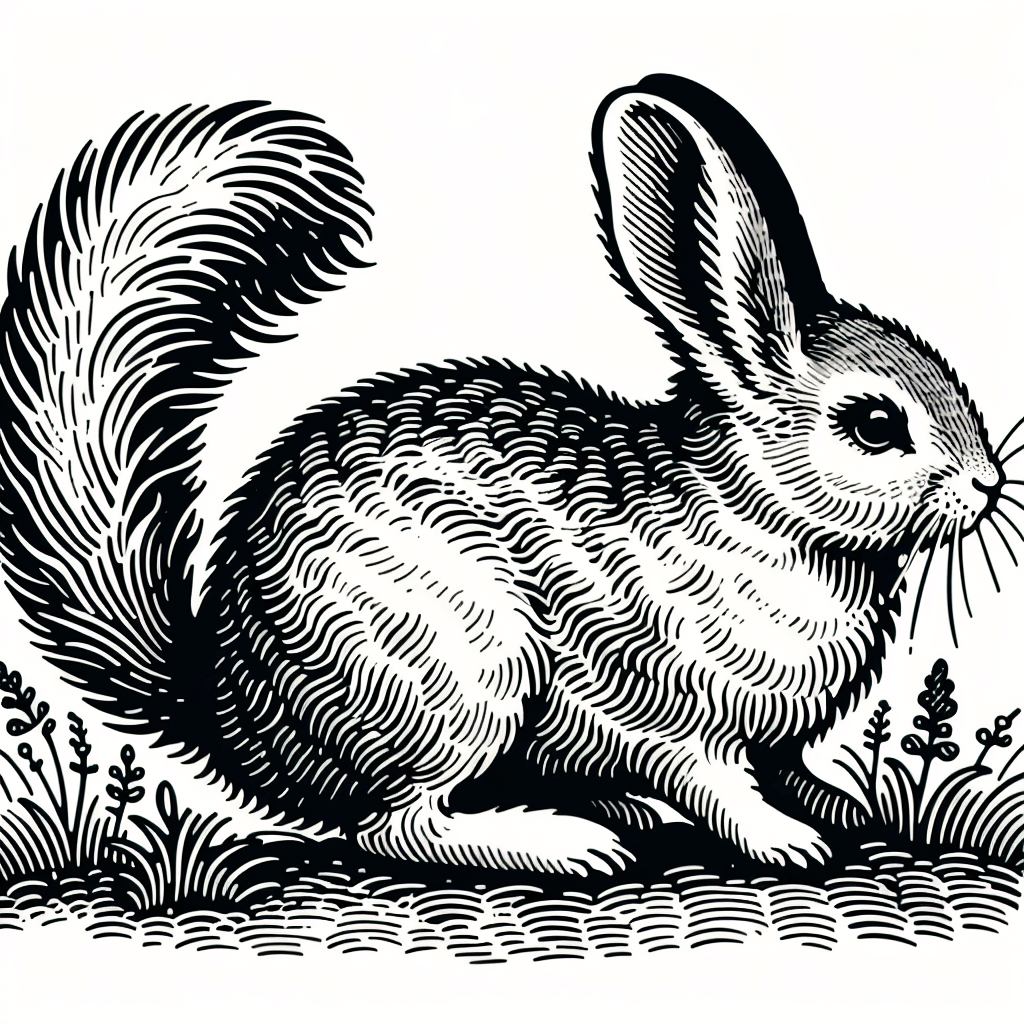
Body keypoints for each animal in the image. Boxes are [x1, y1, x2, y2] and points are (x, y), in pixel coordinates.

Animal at [0, 76, 1010, 877]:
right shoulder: (676, 721)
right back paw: (570, 846)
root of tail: (224, 702)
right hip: (462, 679)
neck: (757, 514)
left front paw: (841, 809)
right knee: (395, 829)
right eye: (876, 424)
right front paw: (790, 845)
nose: (988, 487)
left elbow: (794, 772)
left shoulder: (776, 739)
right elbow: (720, 788)